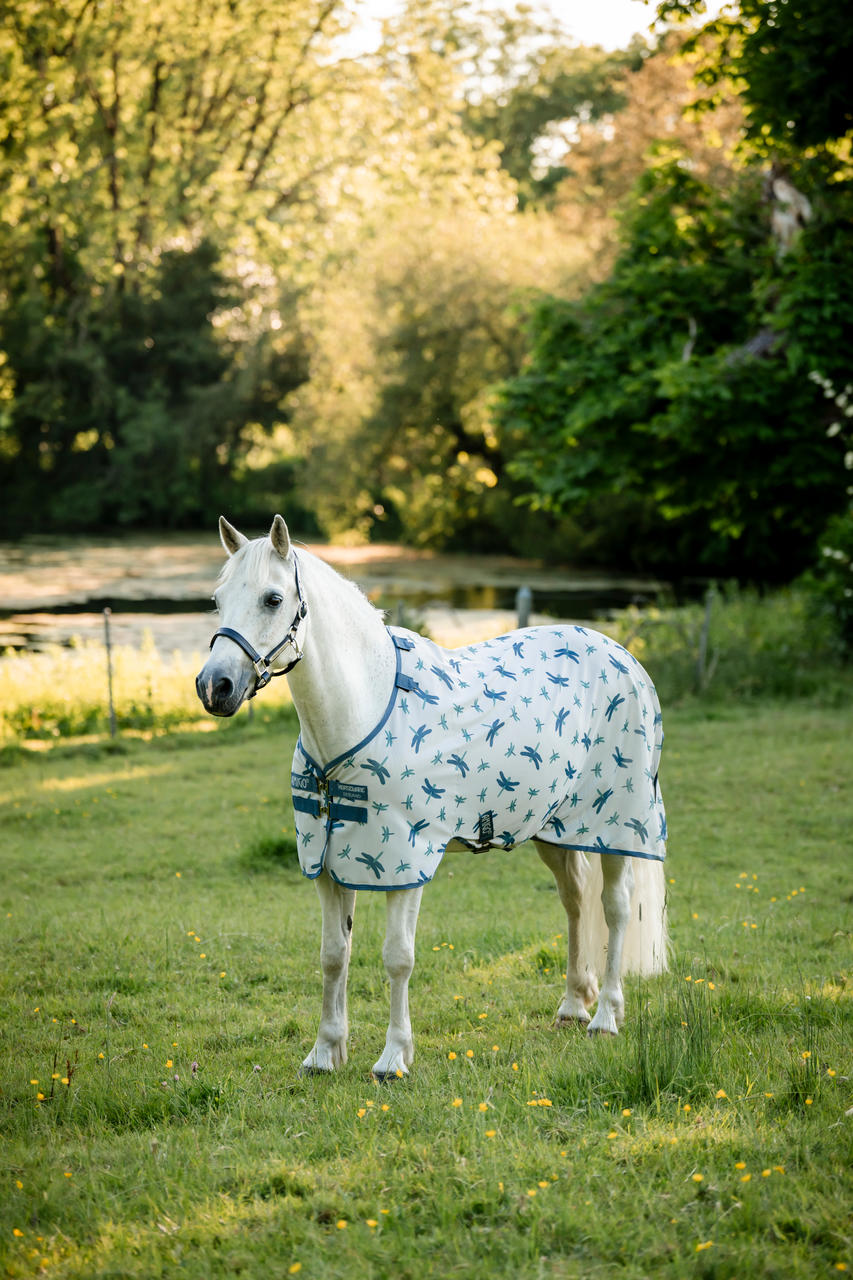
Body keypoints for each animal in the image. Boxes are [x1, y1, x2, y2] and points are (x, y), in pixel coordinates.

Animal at [196, 515, 668, 1079]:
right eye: (218, 599)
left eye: (272, 599)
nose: (215, 686)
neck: (364, 710)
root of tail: (621, 654)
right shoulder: (328, 863)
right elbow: (333, 954)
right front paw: (324, 1053)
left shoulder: (405, 862)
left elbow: (398, 957)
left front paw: (393, 1057)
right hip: (555, 829)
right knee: (575, 901)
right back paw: (574, 1005)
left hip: (617, 828)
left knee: (615, 908)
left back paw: (606, 1017)